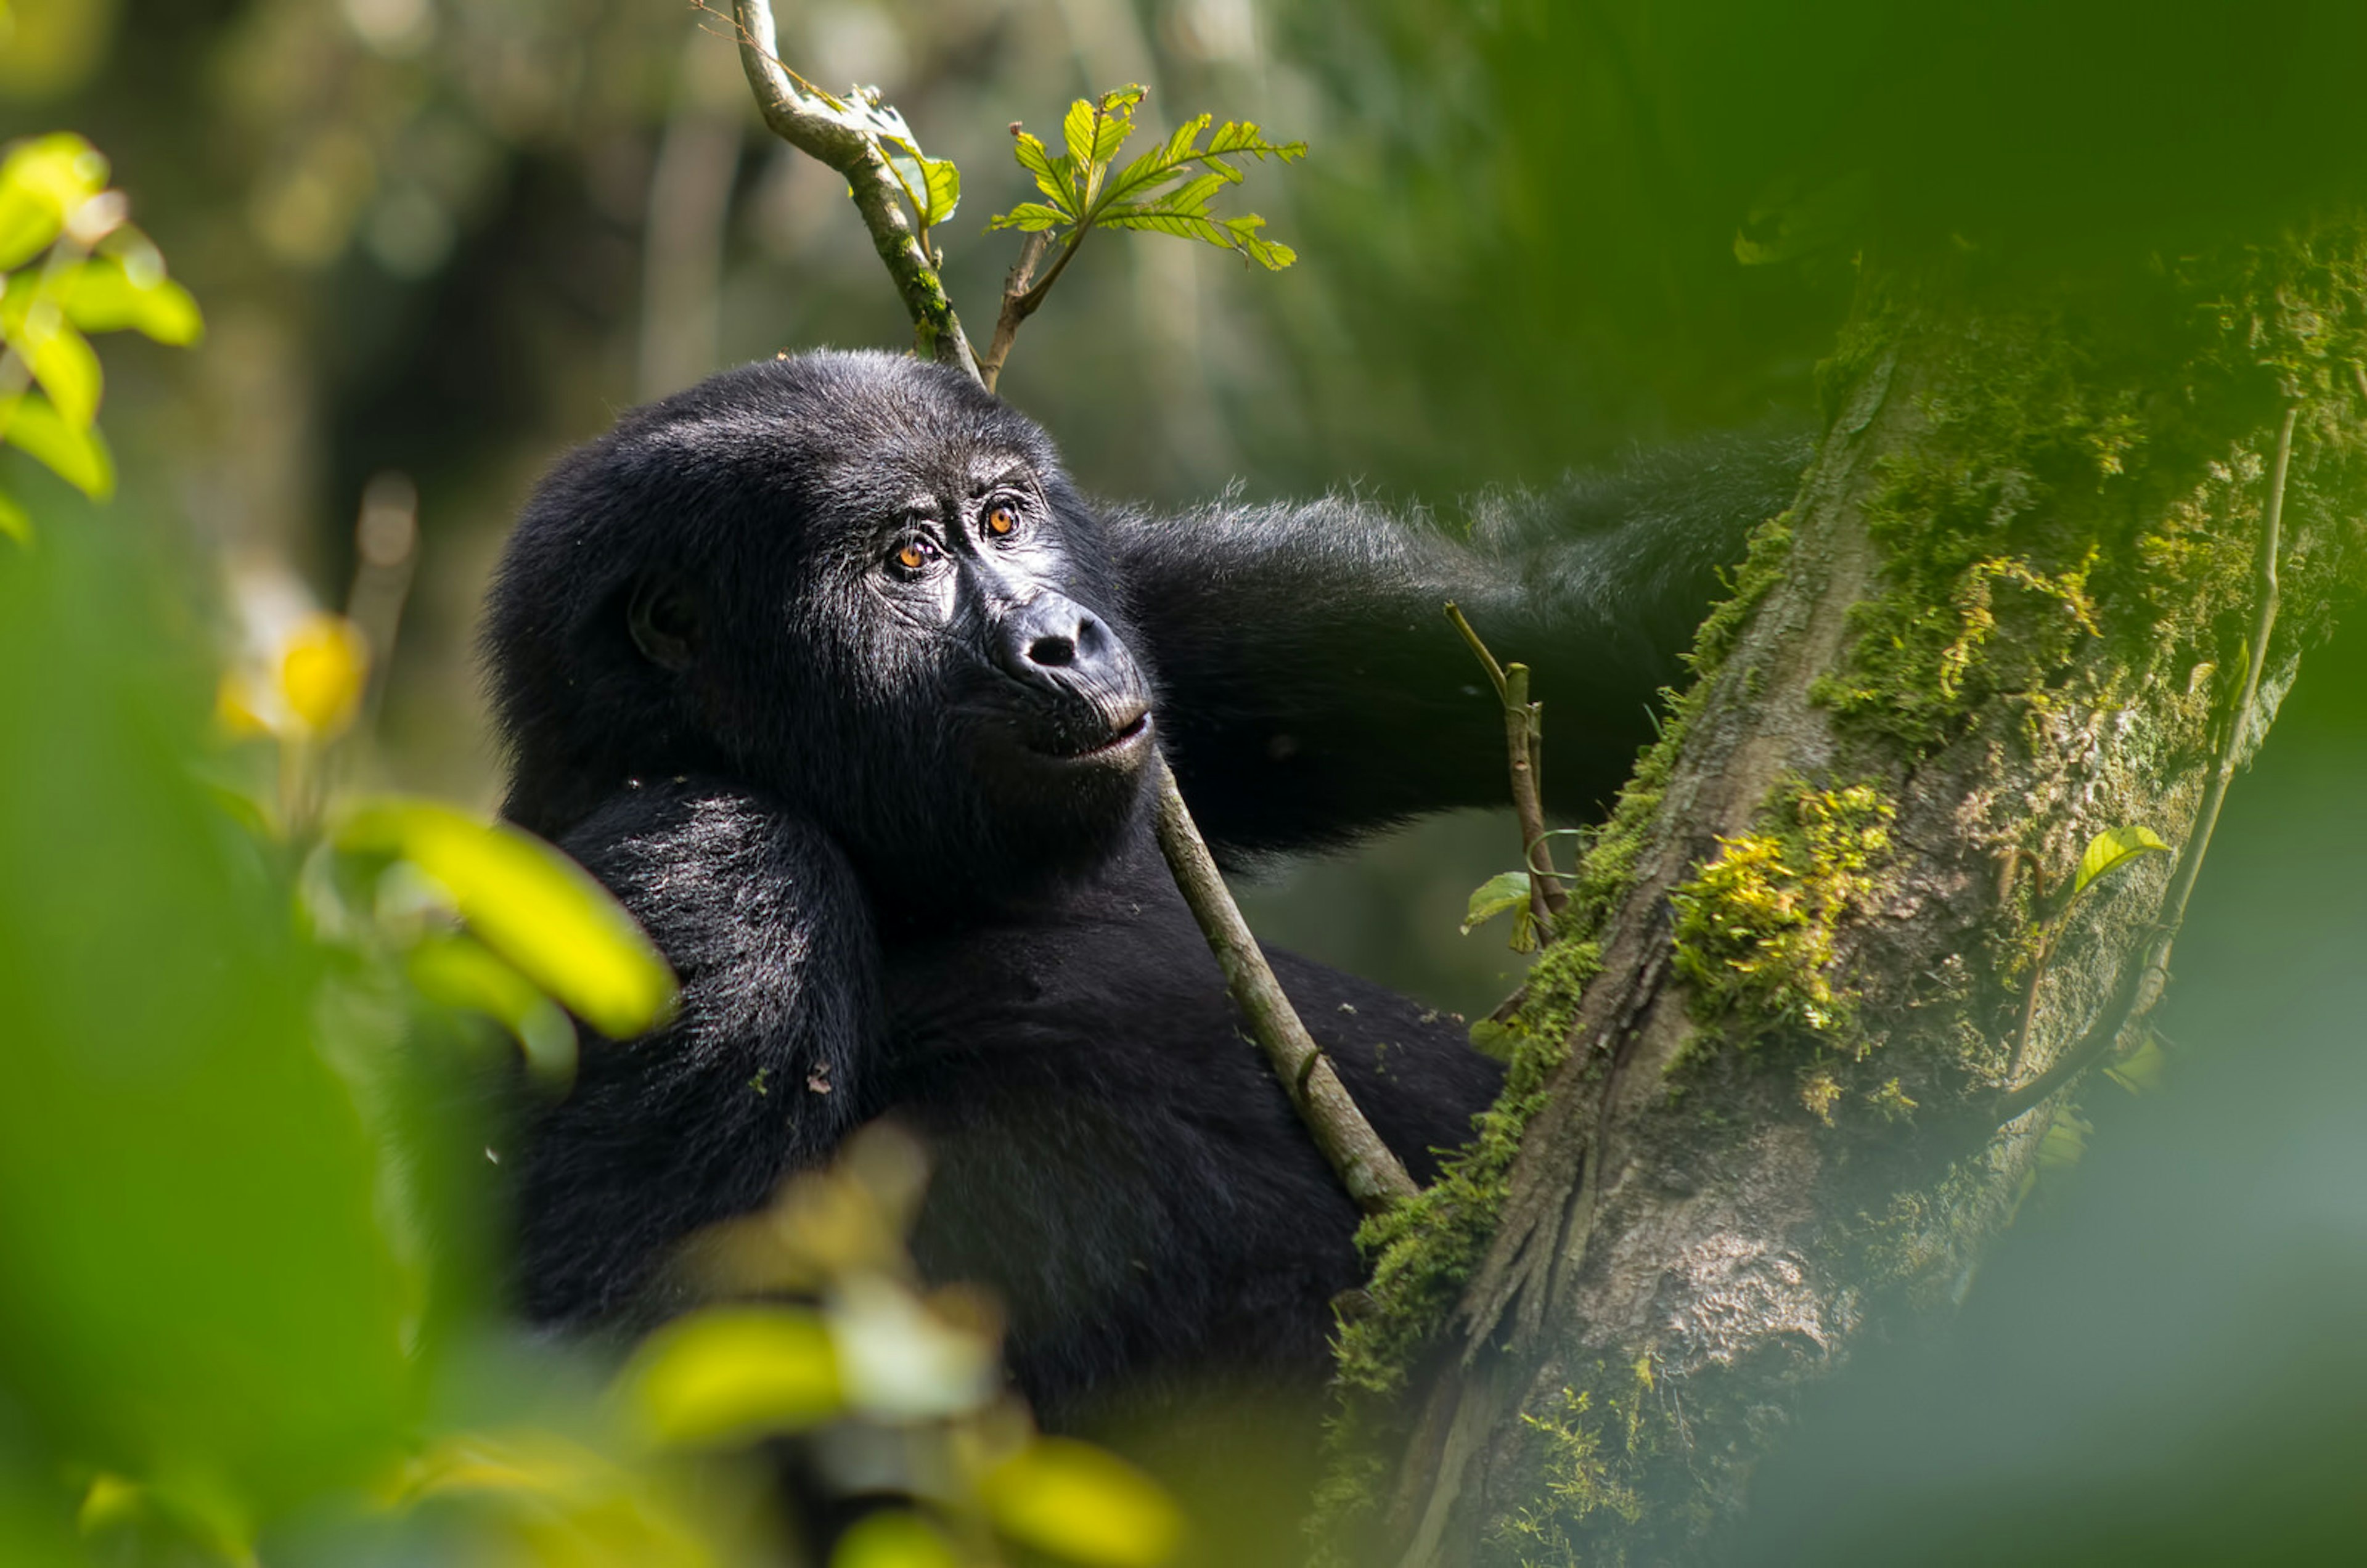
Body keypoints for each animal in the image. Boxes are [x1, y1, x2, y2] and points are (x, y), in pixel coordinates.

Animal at [485, 350, 1789, 1431]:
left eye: (1004, 517)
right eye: (908, 557)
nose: (1062, 639)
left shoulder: (1153, 595)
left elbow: (1540, 615)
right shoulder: (705, 870)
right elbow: (634, 1368)